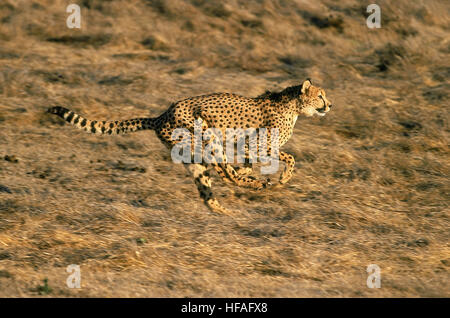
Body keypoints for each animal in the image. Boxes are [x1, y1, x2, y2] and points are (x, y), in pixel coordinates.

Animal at [48, 78, 330, 215]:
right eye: (320, 96)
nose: (330, 105)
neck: (294, 106)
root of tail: (161, 115)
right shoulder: (258, 145)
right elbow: (290, 158)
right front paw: (282, 178)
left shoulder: (246, 146)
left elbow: (246, 166)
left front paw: (249, 174)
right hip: (205, 135)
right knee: (222, 171)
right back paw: (258, 185)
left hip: (193, 158)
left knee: (208, 189)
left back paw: (226, 212)